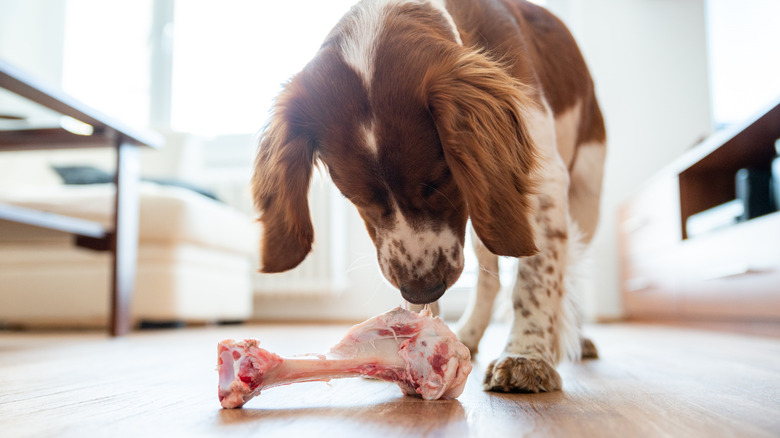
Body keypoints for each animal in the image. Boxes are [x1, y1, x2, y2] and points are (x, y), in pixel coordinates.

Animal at [253, 0, 608, 394]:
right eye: (356, 196)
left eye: (438, 181)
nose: (423, 290)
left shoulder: (540, 183)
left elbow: (535, 280)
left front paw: (527, 356)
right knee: (490, 277)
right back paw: (470, 332)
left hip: (574, 199)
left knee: (568, 269)